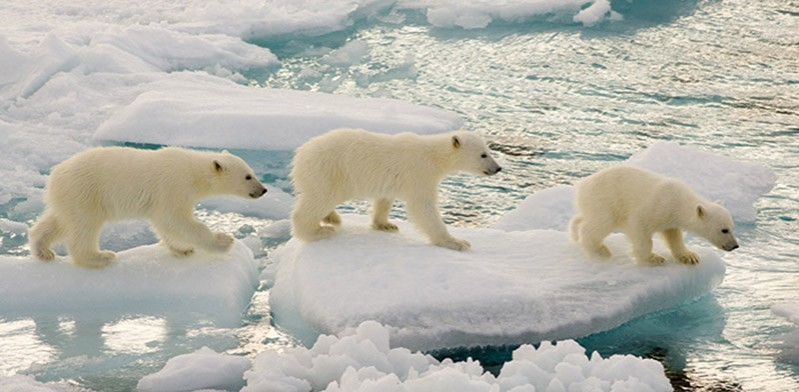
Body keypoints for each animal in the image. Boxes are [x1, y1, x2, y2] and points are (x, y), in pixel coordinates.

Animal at [28, 145, 268, 268]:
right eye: (248, 176)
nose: (263, 190)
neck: (193, 171)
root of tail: (54, 176)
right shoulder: (173, 185)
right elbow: (174, 219)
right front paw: (224, 241)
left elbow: (166, 223)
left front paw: (182, 249)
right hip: (86, 192)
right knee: (83, 227)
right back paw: (101, 256)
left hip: (70, 197)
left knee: (58, 220)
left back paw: (43, 250)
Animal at [290, 129, 500, 251]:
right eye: (483, 154)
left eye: (488, 151)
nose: (498, 168)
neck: (434, 155)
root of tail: (300, 155)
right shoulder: (420, 172)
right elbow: (423, 207)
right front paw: (457, 242)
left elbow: (384, 199)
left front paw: (385, 224)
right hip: (329, 171)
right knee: (318, 200)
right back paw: (319, 231)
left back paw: (331, 217)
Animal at [572, 165, 740, 266]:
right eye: (724, 230)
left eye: (733, 227)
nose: (735, 246)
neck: (677, 200)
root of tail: (582, 185)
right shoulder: (655, 206)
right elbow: (640, 227)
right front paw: (653, 258)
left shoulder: (670, 219)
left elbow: (674, 236)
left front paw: (690, 256)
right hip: (605, 199)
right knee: (600, 223)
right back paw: (599, 251)